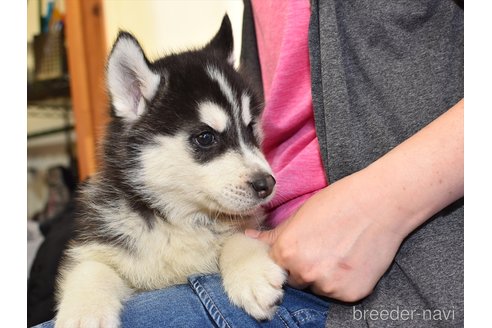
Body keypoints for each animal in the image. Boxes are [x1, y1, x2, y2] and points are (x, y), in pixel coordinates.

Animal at [54, 14, 286, 326]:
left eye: (250, 129)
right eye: (205, 137)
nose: (266, 184)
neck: (178, 221)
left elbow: (241, 234)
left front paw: (251, 272)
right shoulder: (99, 244)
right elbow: (91, 267)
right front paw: (85, 311)